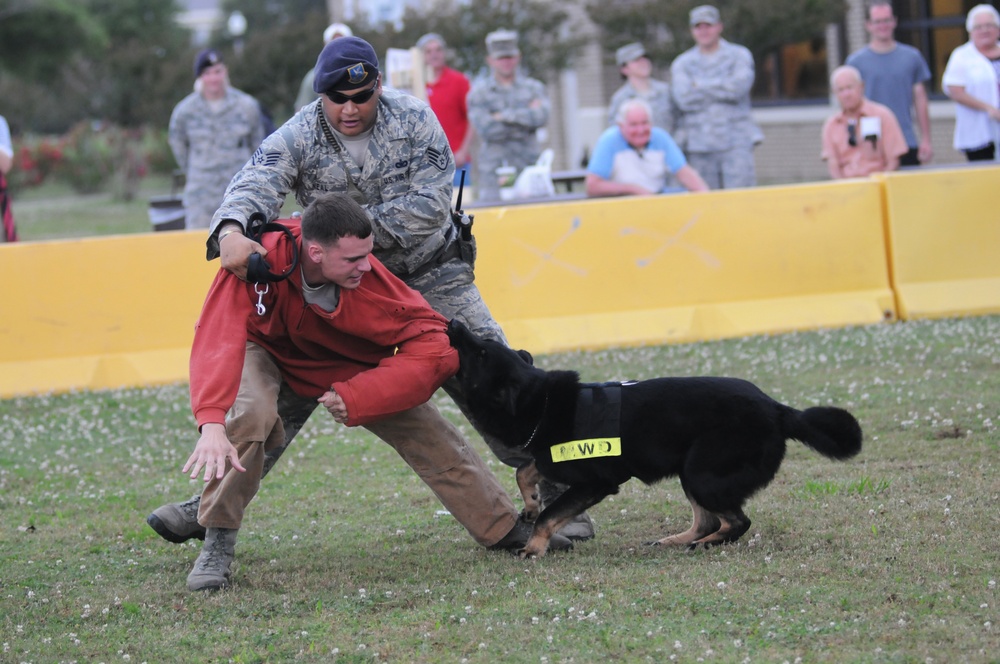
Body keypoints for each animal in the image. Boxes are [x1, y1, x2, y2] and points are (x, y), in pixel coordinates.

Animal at [446, 320, 860, 556]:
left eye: (479, 352)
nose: (452, 323)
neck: (540, 402)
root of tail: (778, 409)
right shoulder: (551, 459)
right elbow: (526, 472)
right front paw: (530, 506)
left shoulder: (595, 483)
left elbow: (550, 512)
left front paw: (533, 547)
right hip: (690, 472)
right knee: (709, 521)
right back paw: (678, 541)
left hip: (701, 472)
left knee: (737, 523)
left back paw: (701, 546)